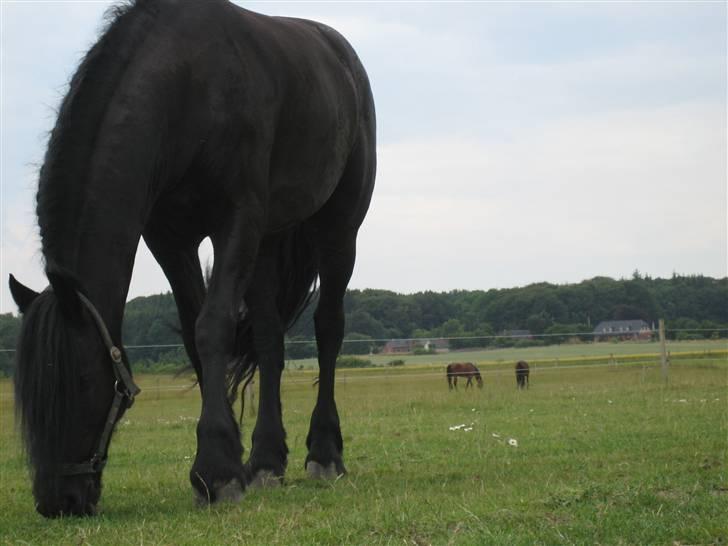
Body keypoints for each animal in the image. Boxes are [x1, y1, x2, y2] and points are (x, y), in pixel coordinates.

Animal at [8, 0, 376, 516]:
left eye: (78, 381)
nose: (58, 501)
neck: (188, 88)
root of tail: (342, 56)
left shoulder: (236, 221)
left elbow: (212, 326)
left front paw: (217, 472)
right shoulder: (170, 238)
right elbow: (194, 333)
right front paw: (231, 463)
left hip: (339, 226)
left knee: (328, 328)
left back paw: (324, 454)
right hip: (267, 242)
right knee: (269, 338)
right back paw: (267, 461)